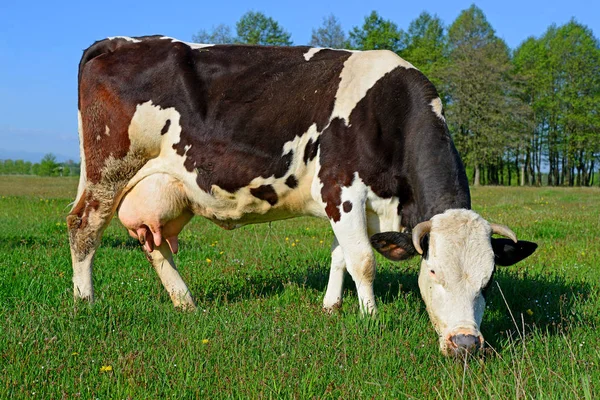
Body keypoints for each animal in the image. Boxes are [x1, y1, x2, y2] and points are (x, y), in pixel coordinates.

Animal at [68, 36, 536, 356]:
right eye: (434, 272)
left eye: (489, 281)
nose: (465, 344)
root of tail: (118, 42)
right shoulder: (341, 188)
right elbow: (363, 261)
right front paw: (370, 318)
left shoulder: (351, 205)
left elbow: (341, 255)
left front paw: (331, 307)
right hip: (107, 172)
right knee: (83, 227)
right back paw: (85, 300)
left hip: (162, 190)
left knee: (153, 243)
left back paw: (186, 303)